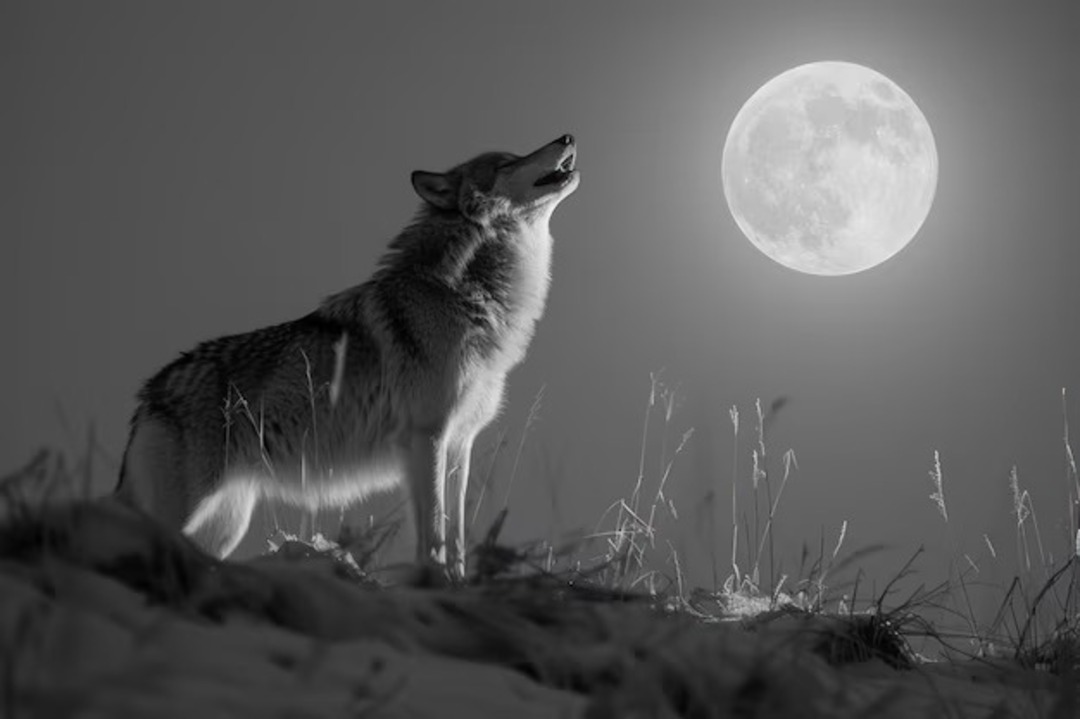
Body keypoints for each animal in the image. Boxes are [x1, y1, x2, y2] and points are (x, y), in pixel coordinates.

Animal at [115, 135, 579, 579]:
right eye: (507, 162)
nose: (567, 136)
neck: (465, 292)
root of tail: (149, 394)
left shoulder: (459, 444)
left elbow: (456, 535)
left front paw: (458, 583)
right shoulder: (426, 436)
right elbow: (433, 533)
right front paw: (437, 581)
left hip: (226, 525)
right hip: (189, 512)